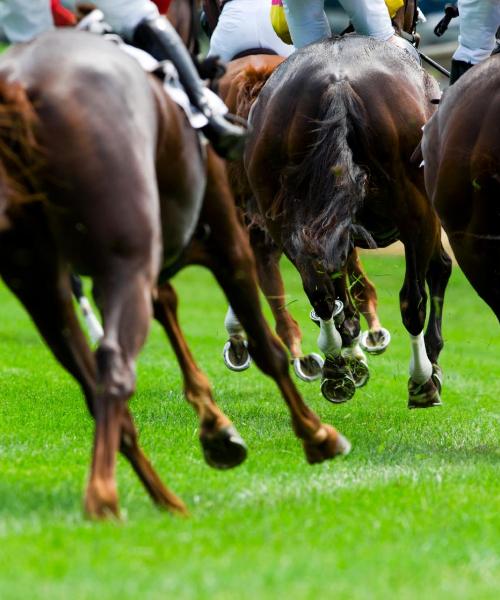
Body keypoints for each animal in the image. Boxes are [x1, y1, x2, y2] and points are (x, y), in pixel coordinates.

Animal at [0, 29, 350, 516]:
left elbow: (171, 310)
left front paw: (217, 428)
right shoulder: (226, 244)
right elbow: (269, 349)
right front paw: (315, 434)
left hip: (37, 280)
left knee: (93, 383)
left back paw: (160, 498)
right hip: (125, 261)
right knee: (114, 368)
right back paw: (105, 497)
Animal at [244, 28, 452, 406]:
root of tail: (338, 84)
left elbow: (342, 291)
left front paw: (350, 355)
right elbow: (436, 272)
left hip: (280, 215)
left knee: (320, 290)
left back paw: (336, 371)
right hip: (417, 213)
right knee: (414, 297)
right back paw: (421, 380)